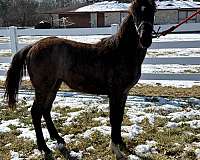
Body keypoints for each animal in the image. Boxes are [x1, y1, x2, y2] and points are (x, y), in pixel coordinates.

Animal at [4, 0, 156, 158]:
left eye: (153, 10)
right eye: (134, 12)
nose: (145, 39)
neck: (121, 52)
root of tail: (33, 46)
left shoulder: (124, 93)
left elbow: (119, 117)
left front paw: (121, 143)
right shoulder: (115, 93)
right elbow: (114, 118)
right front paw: (115, 148)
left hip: (54, 85)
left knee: (46, 109)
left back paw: (58, 138)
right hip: (42, 88)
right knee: (36, 112)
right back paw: (44, 148)